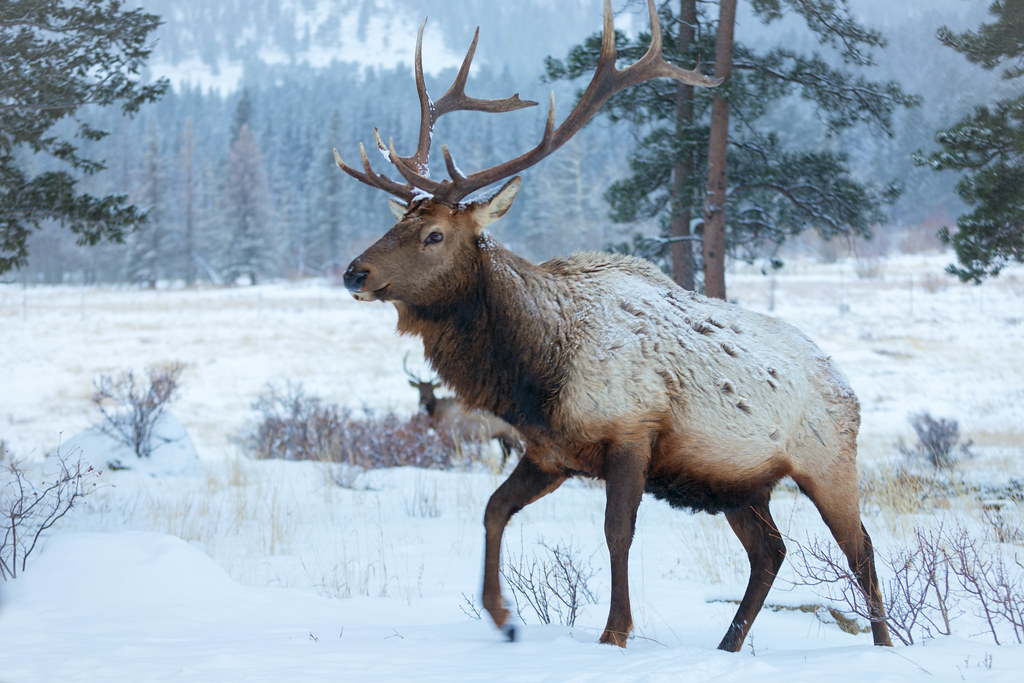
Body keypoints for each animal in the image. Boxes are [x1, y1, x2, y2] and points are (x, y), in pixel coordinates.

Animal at [335, 0, 892, 651]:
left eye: (434, 235)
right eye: (398, 222)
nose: (354, 272)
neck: (535, 371)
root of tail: (848, 387)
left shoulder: (631, 432)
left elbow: (616, 531)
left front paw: (614, 633)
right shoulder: (550, 452)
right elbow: (493, 509)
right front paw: (503, 617)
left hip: (828, 463)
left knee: (860, 549)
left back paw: (883, 645)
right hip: (740, 483)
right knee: (770, 552)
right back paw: (729, 646)